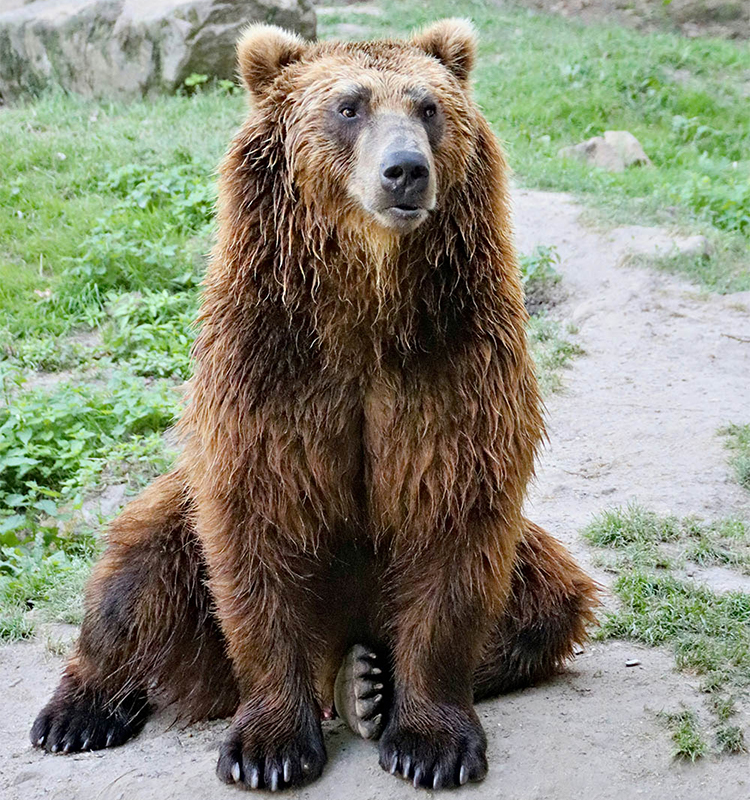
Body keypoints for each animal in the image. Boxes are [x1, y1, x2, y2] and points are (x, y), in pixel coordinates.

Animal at [30, 19, 598, 792]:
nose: (405, 171)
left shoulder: (452, 364)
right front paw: (269, 750)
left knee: (548, 601)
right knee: (132, 578)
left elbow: (453, 524)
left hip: (523, 561)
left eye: (427, 107)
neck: (365, 303)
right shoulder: (271, 371)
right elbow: (259, 529)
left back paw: (365, 685)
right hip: (179, 522)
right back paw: (78, 713)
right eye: (349, 106)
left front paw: (431, 744)